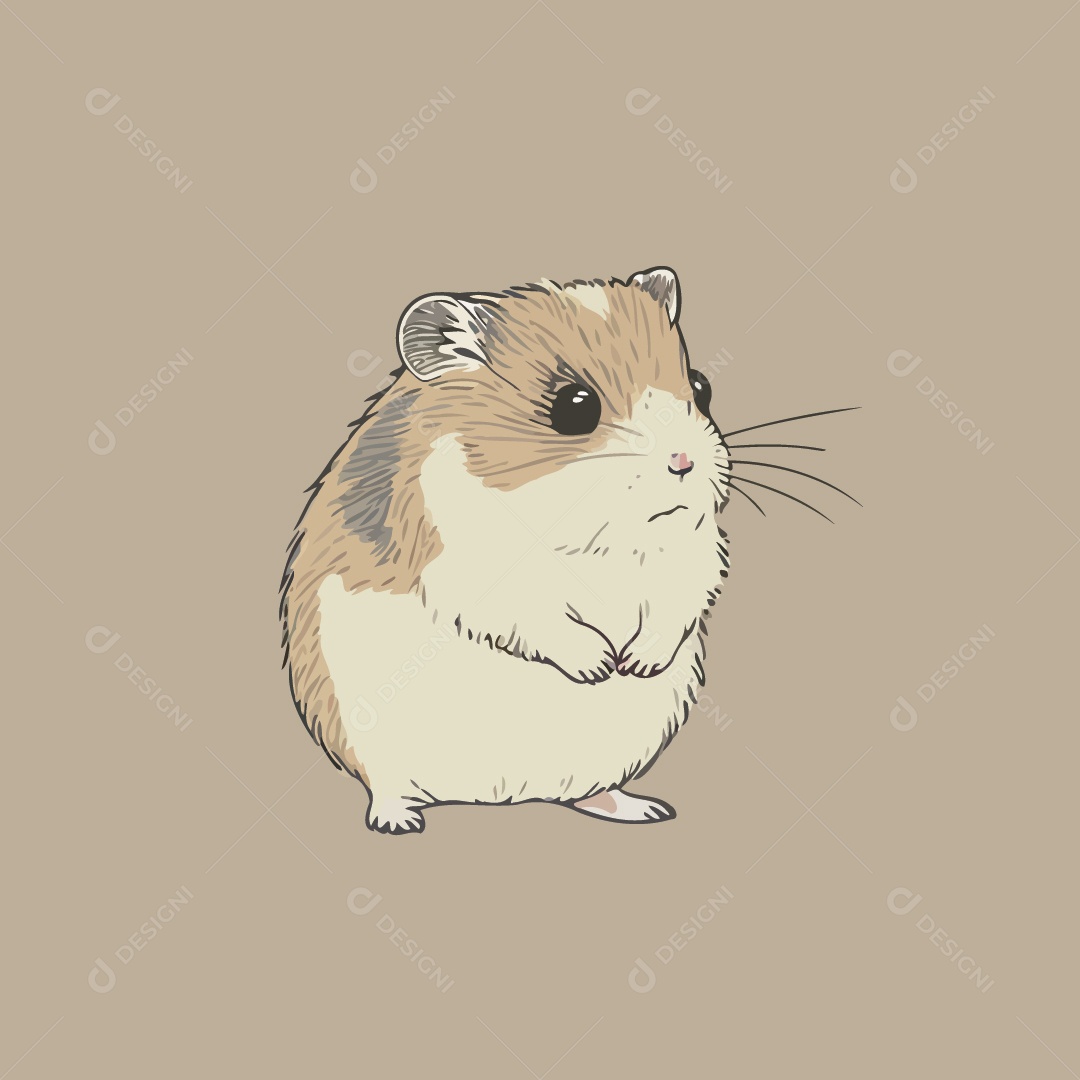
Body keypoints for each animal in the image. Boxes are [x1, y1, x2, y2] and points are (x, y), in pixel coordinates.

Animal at [279, 267, 731, 834]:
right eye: (575, 406)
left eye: (701, 387)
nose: (684, 462)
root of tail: (499, 797)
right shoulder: (477, 572)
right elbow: (541, 619)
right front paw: (601, 666)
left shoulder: (691, 557)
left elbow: (675, 608)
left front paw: (635, 664)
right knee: (388, 787)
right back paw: (398, 822)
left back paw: (644, 809)